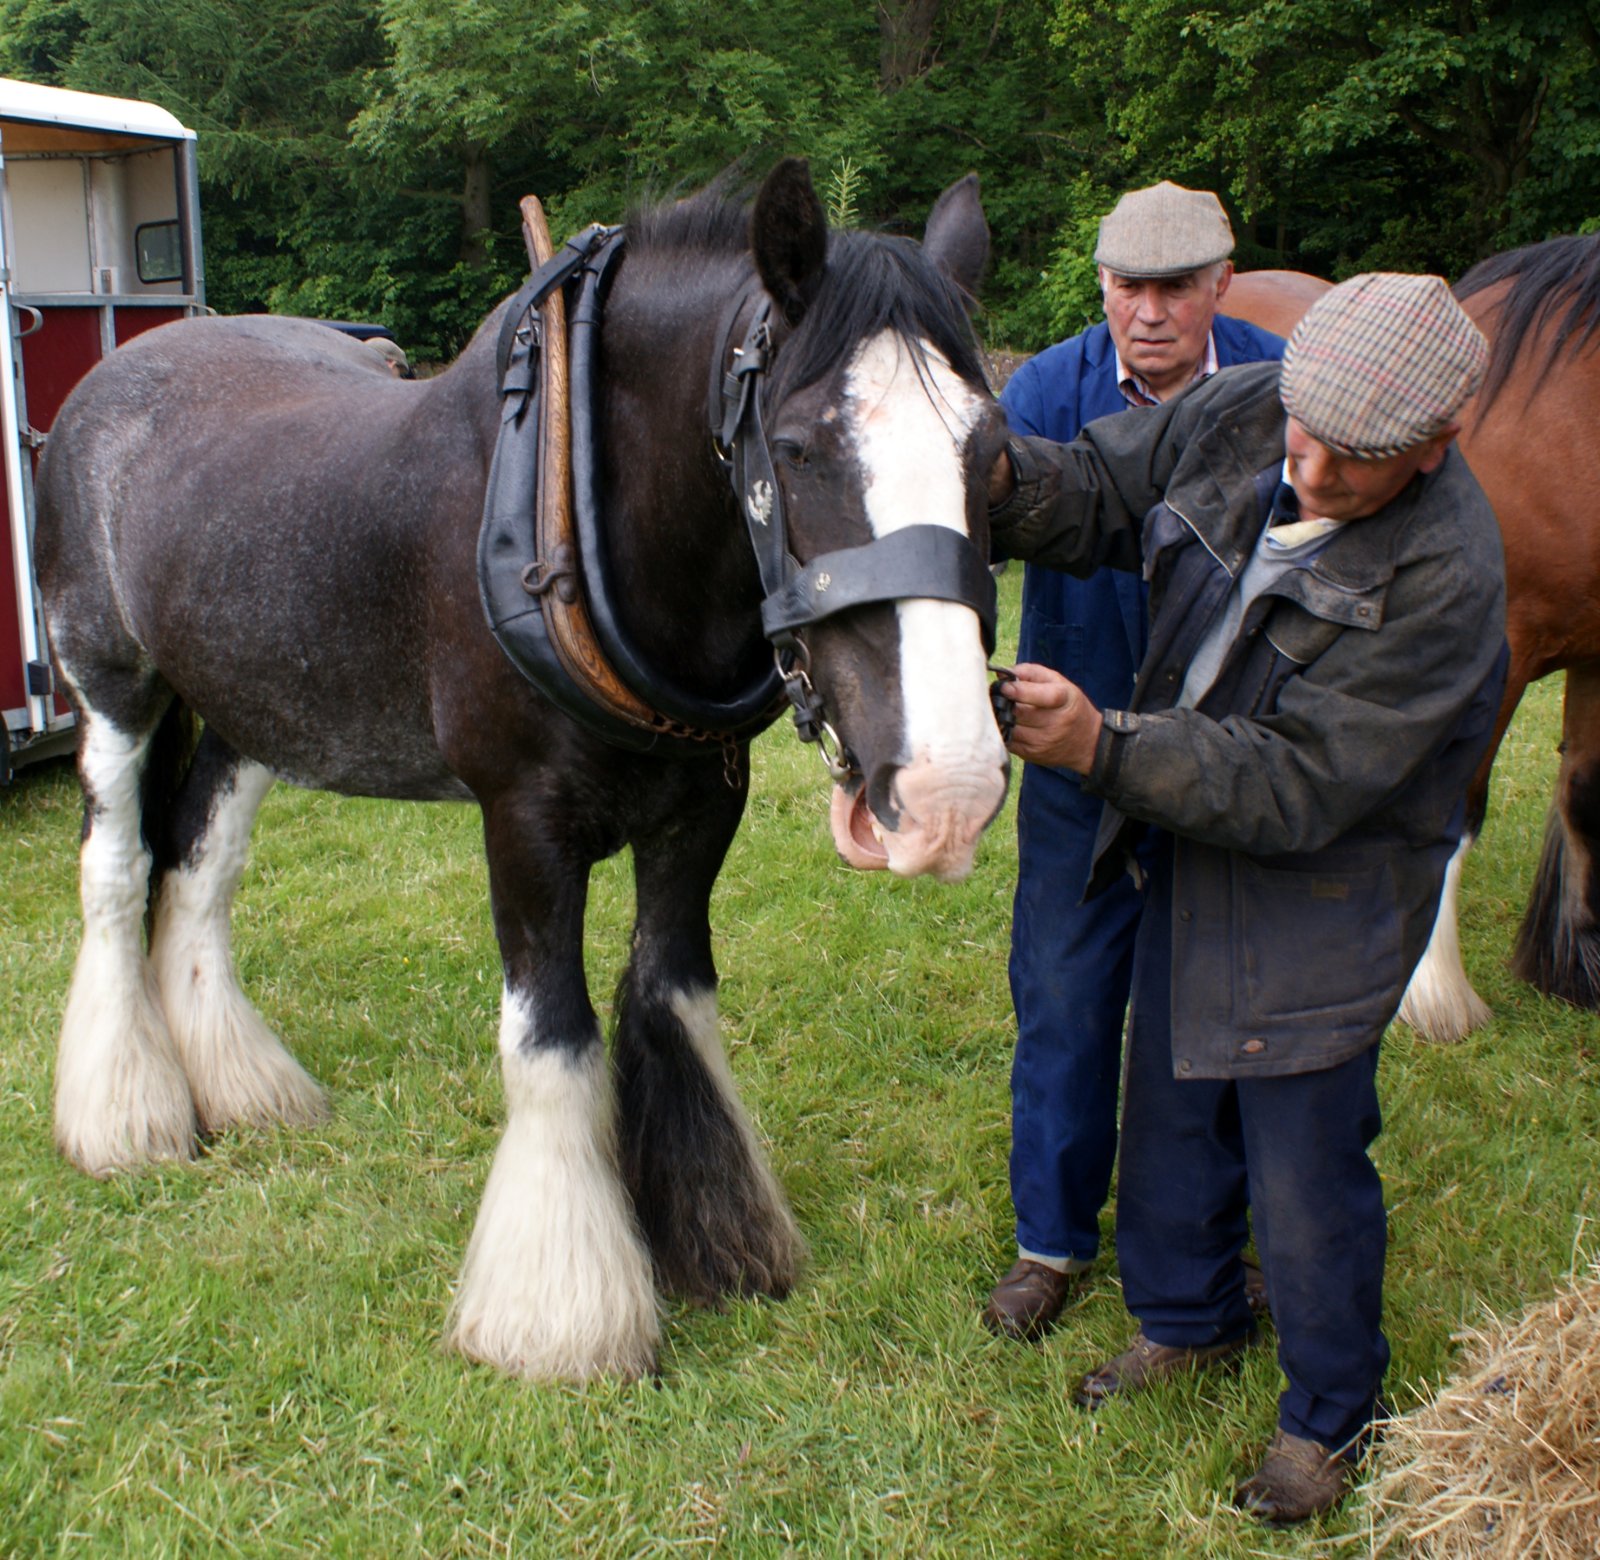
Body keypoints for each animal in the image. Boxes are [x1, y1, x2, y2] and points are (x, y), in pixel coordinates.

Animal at [33, 159, 1015, 1382]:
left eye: (991, 451)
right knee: (117, 873)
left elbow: (670, 998)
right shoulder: (523, 823)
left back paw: (241, 1090)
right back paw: (127, 1118)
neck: (569, 511)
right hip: (109, 683)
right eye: (796, 448)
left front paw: (721, 1243)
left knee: (200, 872)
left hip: (254, 706)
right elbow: (552, 1038)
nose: (949, 794)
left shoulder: (700, 812)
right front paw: (562, 1319)